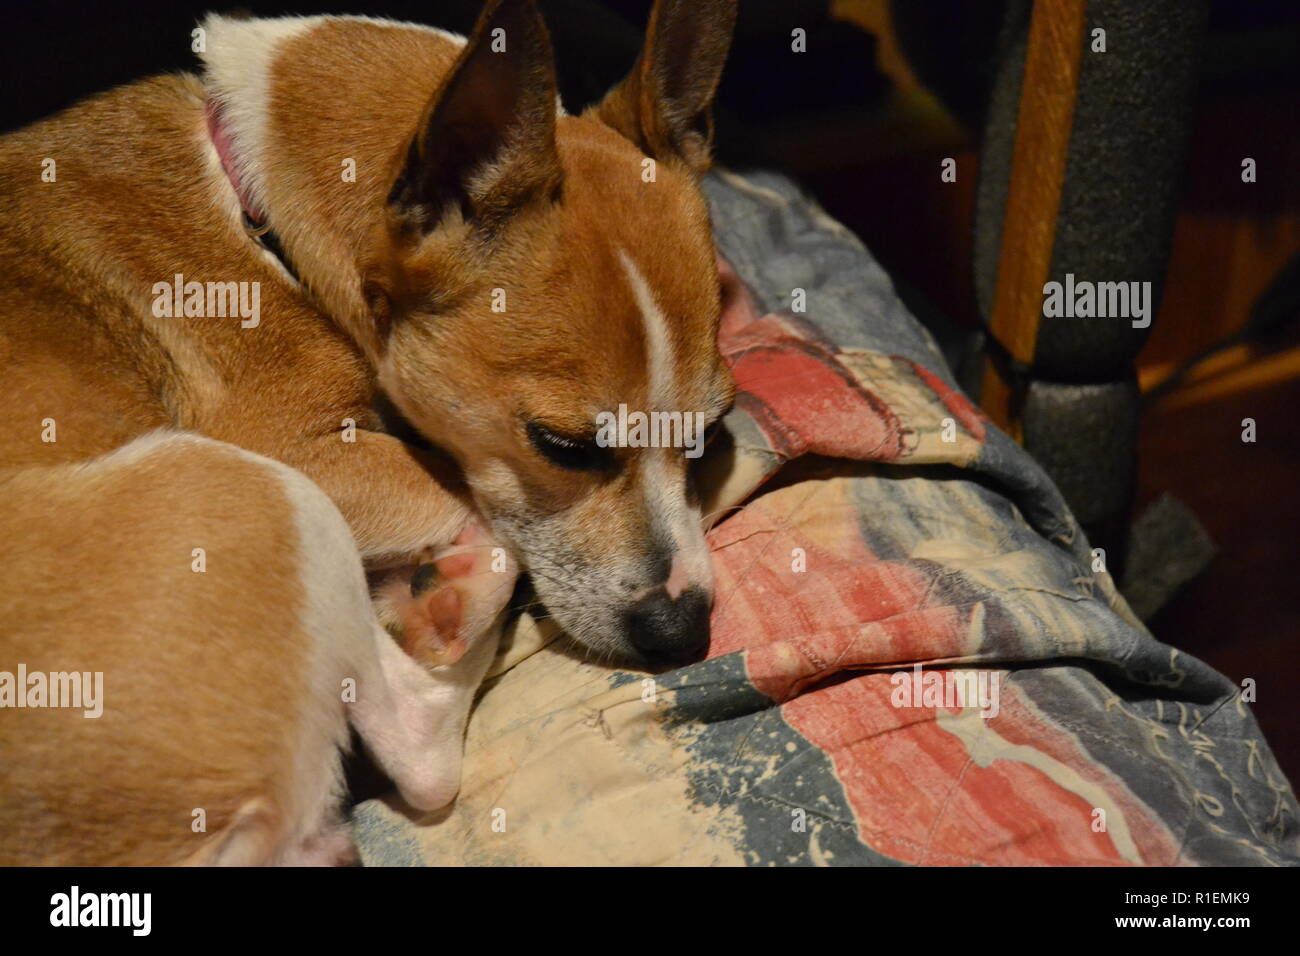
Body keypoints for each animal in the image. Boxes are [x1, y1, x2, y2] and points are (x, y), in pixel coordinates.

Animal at [0, 0, 738, 868]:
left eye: (712, 429)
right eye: (563, 447)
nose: (685, 632)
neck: (255, 204)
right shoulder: (300, 448)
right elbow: (456, 494)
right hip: (251, 488)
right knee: (424, 757)